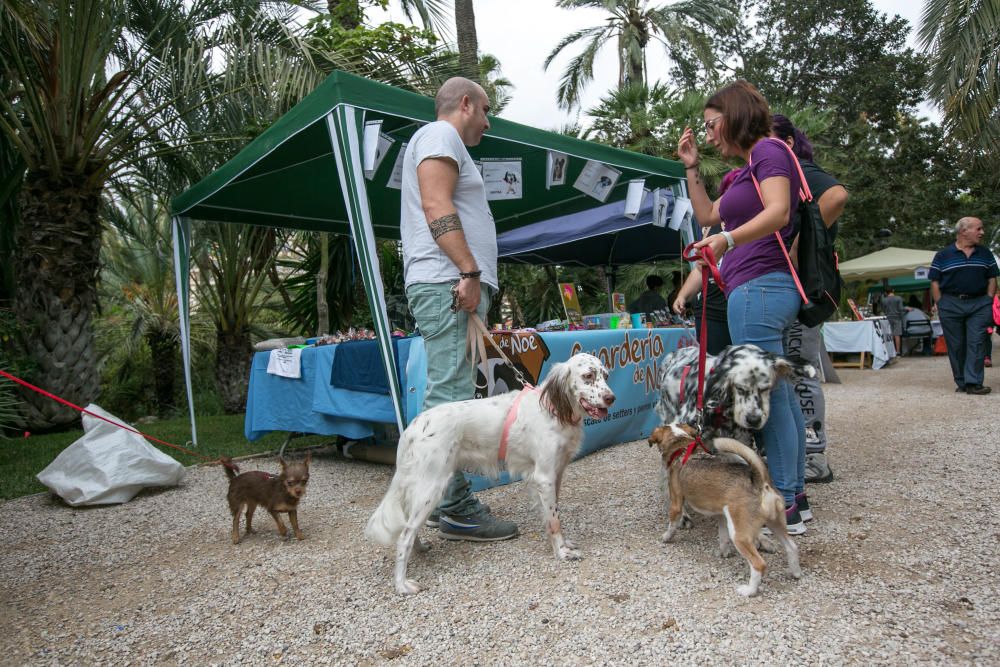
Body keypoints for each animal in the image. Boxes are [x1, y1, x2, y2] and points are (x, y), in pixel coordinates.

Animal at [648, 426, 804, 596]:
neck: (681, 447)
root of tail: (760, 482)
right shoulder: (722, 517)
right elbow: (723, 539)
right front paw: (723, 554)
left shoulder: (676, 503)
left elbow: (672, 525)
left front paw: (666, 537)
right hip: (775, 524)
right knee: (792, 547)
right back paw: (795, 573)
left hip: (739, 535)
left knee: (759, 564)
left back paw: (749, 590)